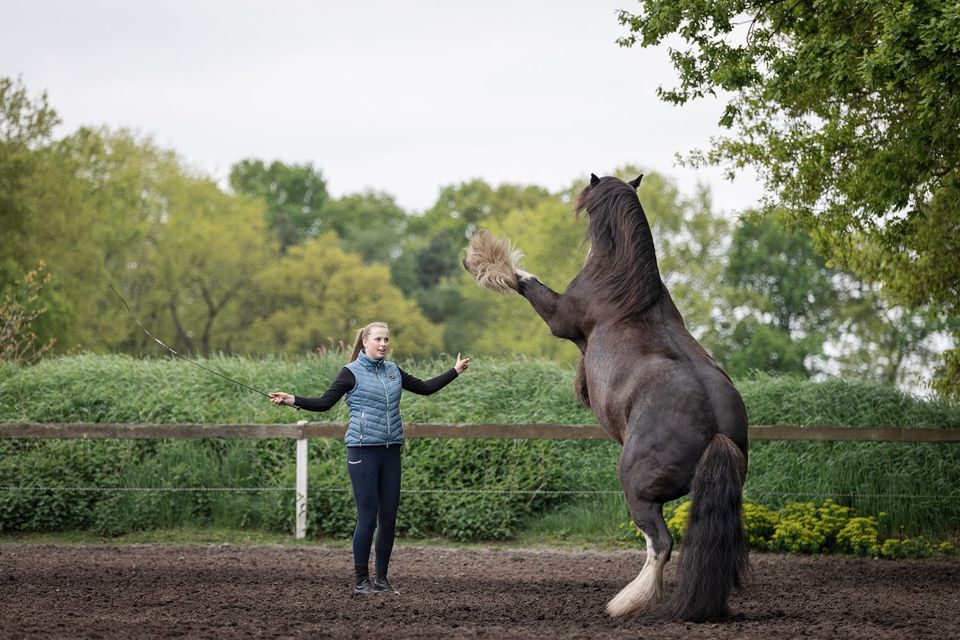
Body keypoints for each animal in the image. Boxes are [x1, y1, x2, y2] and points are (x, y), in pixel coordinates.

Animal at [464, 172, 752, 624]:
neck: (625, 290)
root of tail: (717, 430)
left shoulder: (560, 319)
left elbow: (525, 279)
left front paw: (484, 259)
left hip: (637, 491)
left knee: (660, 543)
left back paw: (627, 601)